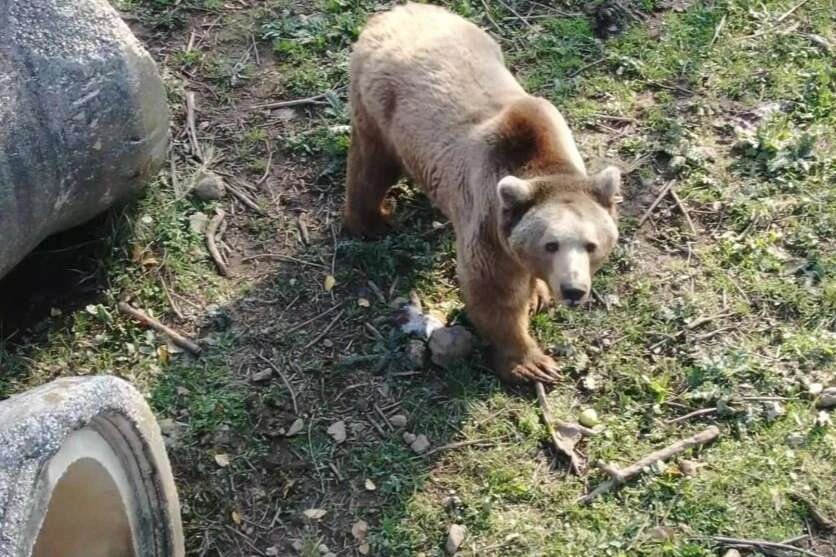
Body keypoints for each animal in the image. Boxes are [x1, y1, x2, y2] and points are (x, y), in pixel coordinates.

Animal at [342, 2, 620, 382]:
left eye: (591, 245)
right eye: (551, 244)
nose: (573, 290)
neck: (543, 158)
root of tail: (395, 12)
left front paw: (538, 294)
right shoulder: (488, 217)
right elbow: (491, 291)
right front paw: (532, 363)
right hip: (379, 107)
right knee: (371, 166)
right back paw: (372, 221)